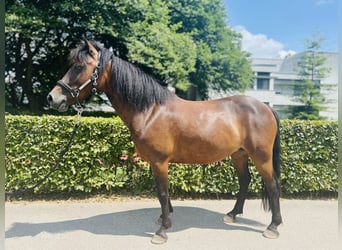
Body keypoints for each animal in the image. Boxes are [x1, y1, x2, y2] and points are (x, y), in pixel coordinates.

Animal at [47, 39, 284, 244]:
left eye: (79, 66)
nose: (52, 98)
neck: (150, 111)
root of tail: (265, 107)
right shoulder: (156, 162)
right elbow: (161, 192)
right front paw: (164, 218)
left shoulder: (160, 161)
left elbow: (162, 193)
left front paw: (162, 230)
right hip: (239, 154)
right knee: (245, 181)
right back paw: (233, 214)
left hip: (261, 156)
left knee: (272, 185)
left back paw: (273, 226)